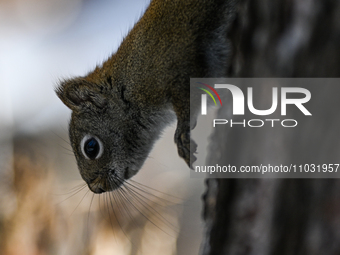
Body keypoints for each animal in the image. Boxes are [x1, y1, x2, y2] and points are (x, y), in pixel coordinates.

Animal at [55, 0, 236, 192]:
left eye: (91, 147)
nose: (95, 188)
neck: (131, 85)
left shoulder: (179, 64)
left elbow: (187, 101)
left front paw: (182, 134)